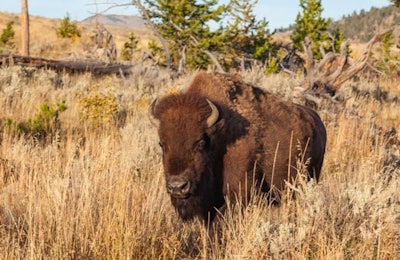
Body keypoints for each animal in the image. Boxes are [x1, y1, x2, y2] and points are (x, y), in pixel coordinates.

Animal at [149, 71, 324, 223]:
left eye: (201, 142)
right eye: (161, 144)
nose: (177, 187)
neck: (219, 133)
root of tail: (316, 120)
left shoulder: (238, 193)